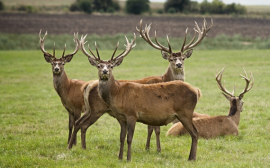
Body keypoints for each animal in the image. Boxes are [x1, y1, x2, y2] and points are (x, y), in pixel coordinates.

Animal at [137, 18, 213, 151]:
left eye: (183, 58)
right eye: (171, 59)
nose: (178, 64)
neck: (163, 79)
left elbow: (150, 128)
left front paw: (148, 148)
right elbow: (155, 129)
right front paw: (157, 149)